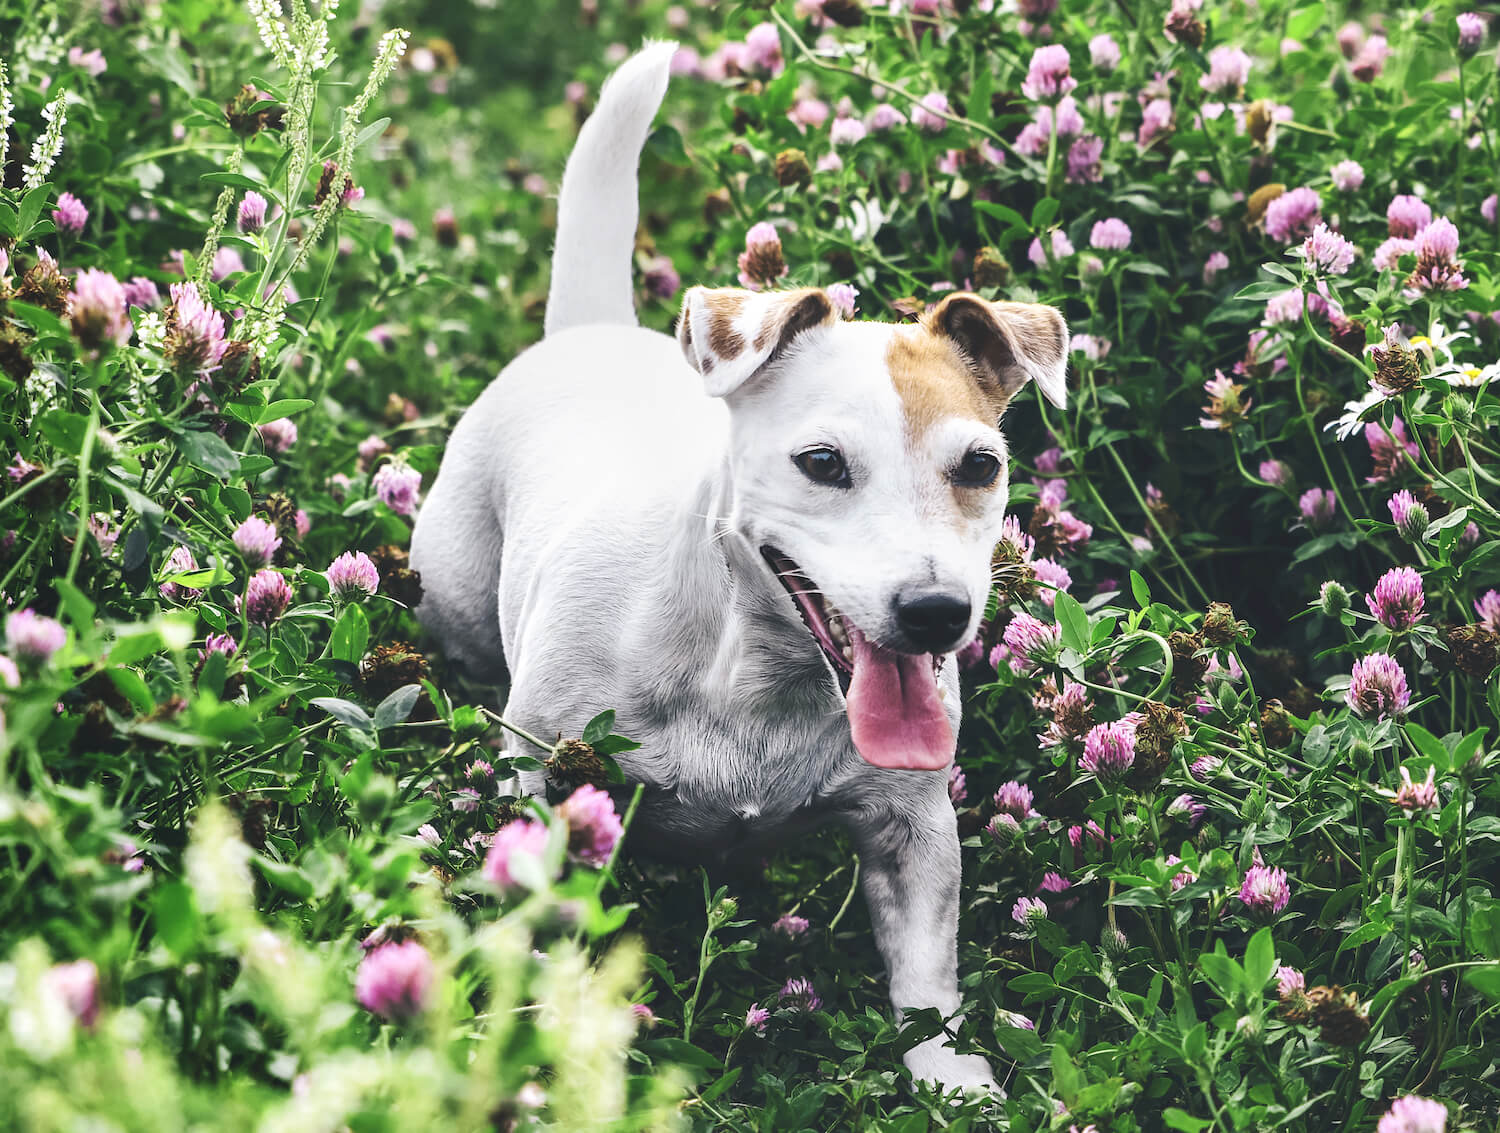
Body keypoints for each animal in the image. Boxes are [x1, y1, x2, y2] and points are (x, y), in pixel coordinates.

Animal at [411, 39, 1068, 1092]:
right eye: (823, 463)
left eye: (980, 466)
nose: (935, 611)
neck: (756, 669)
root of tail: (586, 332)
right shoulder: (546, 781)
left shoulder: (914, 829)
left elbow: (928, 980)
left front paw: (956, 1081)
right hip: (456, 594)